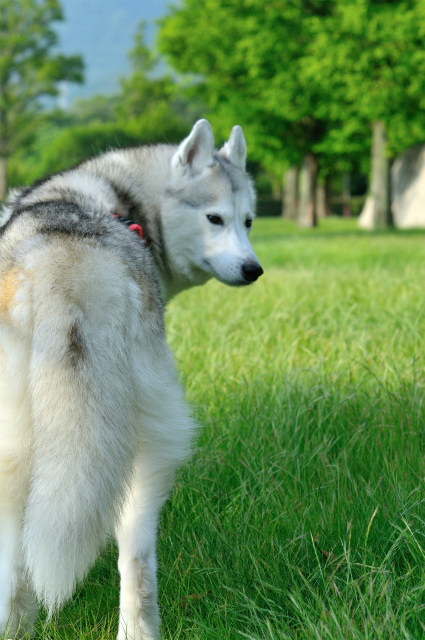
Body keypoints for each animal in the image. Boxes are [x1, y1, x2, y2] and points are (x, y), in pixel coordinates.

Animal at [0, 120, 262, 640]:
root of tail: (71, 266)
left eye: (247, 222)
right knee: (136, 554)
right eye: (215, 219)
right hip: (146, 440)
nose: (253, 269)